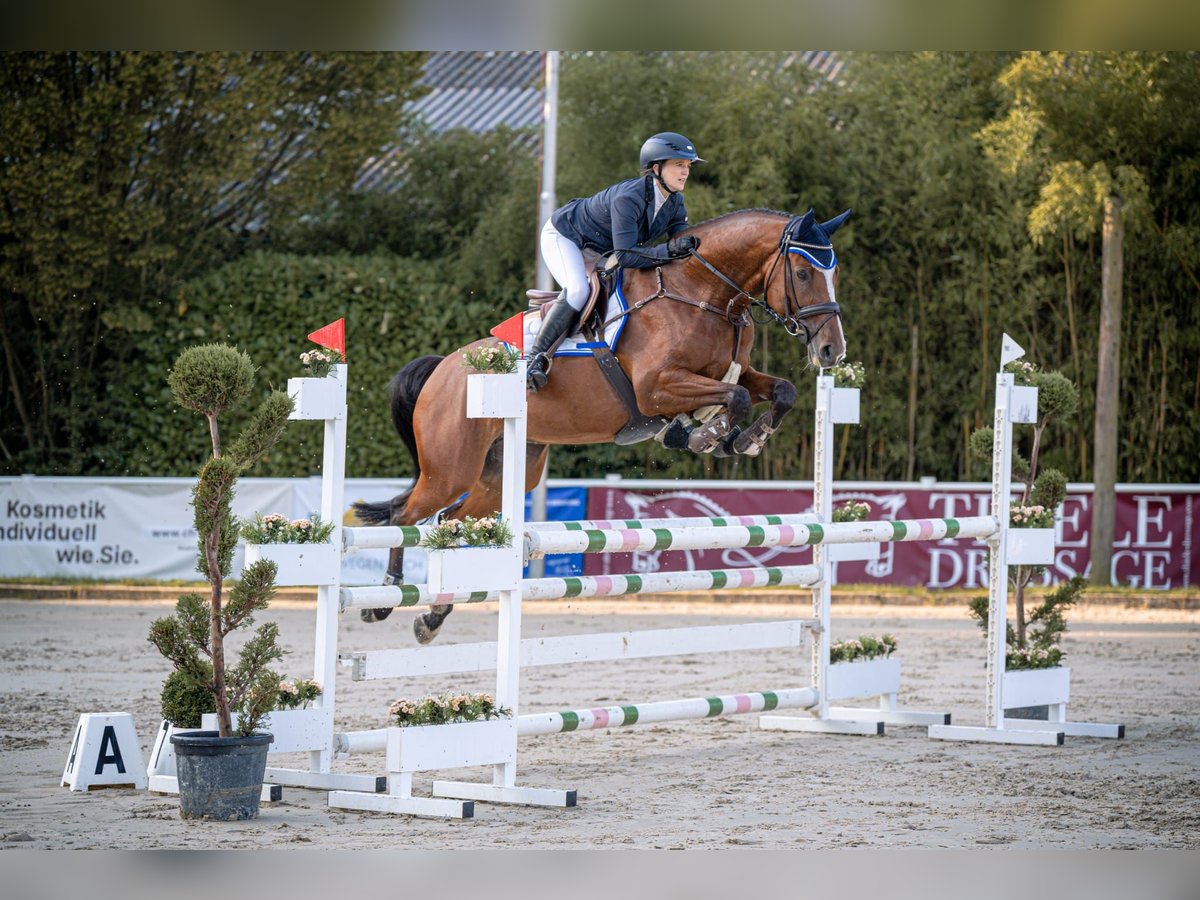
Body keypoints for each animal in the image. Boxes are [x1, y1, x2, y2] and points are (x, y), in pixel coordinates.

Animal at [350, 206, 849, 643]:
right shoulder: (656, 387)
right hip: (450, 469)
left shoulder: (732, 372)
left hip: (504, 471)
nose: (832, 351)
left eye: (835, 273)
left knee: (453, 523)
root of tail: (444, 368)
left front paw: (743, 438)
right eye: (802, 274)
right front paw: (703, 434)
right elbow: (735, 399)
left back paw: (433, 616)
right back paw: (384, 600)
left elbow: (780, 390)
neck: (703, 293)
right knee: (405, 516)